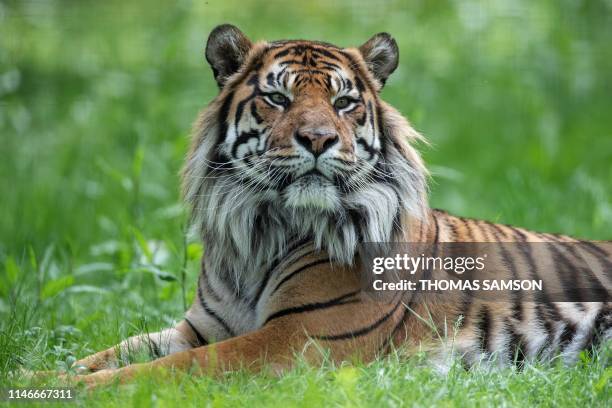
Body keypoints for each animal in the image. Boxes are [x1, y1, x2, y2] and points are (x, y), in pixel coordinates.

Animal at [38, 23, 608, 388]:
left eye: (343, 102)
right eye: (278, 98)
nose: (318, 139)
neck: (260, 233)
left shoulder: (292, 339)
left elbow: (152, 373)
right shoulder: (198, 329)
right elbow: (107, 355)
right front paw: (35, 375)